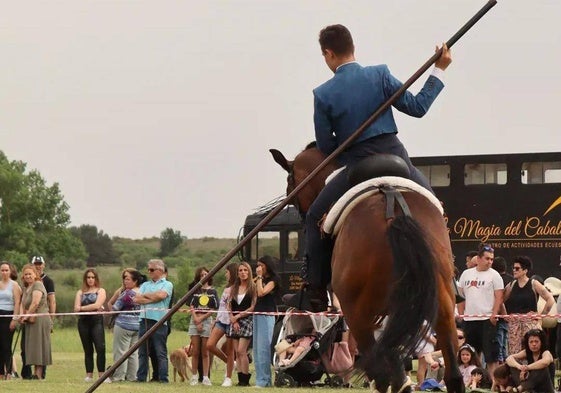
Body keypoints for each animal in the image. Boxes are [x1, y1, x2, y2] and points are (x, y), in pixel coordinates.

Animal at [270, 144, 462, 392]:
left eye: (290, 182)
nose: (301, 218)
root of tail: (394, 215)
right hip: (441, 306)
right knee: (451, 374)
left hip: (359, 316)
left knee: (382, 374)